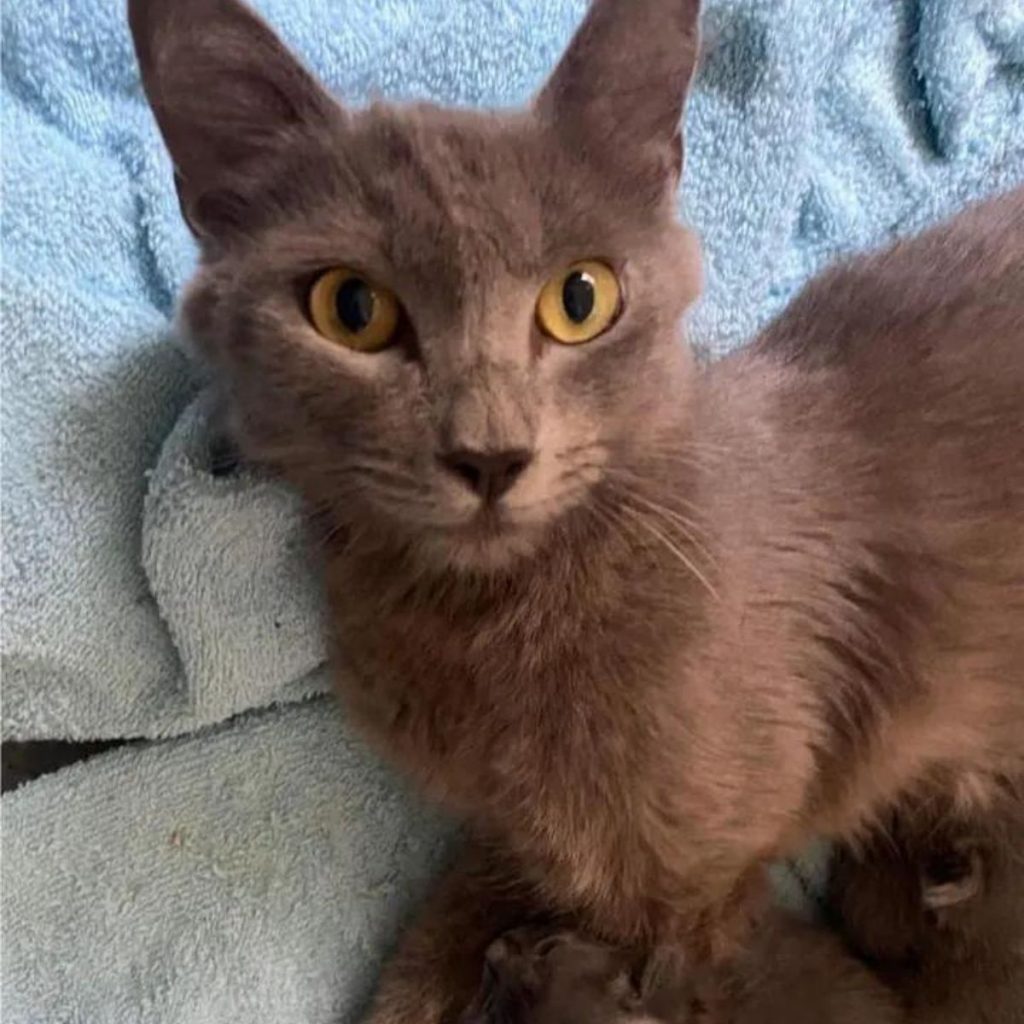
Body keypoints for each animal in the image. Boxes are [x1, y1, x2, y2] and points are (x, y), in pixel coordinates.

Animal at [128, 0, 1024, 1015]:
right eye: (351, 308)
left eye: (581, 299)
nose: (489, 453)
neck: (488, 621)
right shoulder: (517, 838)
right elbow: (438, 938)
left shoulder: (690, 881)